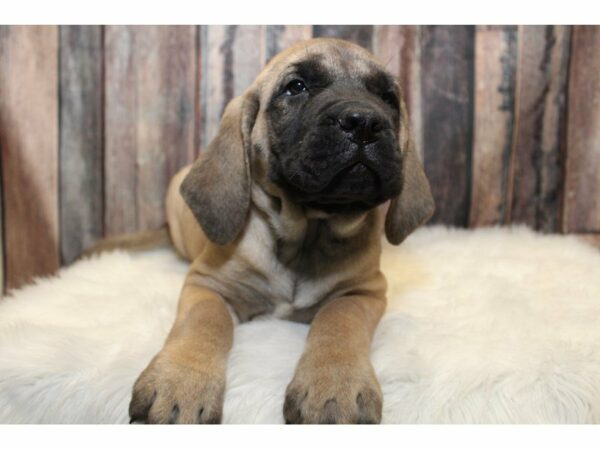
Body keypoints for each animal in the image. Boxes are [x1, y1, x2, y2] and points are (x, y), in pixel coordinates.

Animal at [129, 37, 434, 424]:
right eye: (296, 87)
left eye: (388, 97)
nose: (364, 122)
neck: (306, 233)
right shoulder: (207, 284)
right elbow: (203, 322)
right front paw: (180, 382)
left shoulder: (363, 291)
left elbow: (339, 323)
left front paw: (333, 387)